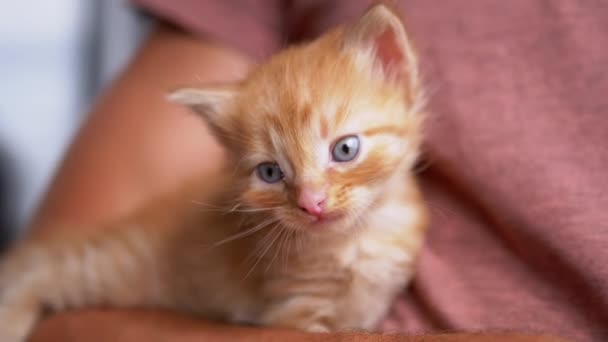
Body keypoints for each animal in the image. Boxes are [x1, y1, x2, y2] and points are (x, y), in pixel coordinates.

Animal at [0, 4, 428, 340]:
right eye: (270, 172)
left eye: (344, 149)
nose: (311, 203)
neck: (357, 238)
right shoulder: (290, 307)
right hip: (111, 270)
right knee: (42, 266)